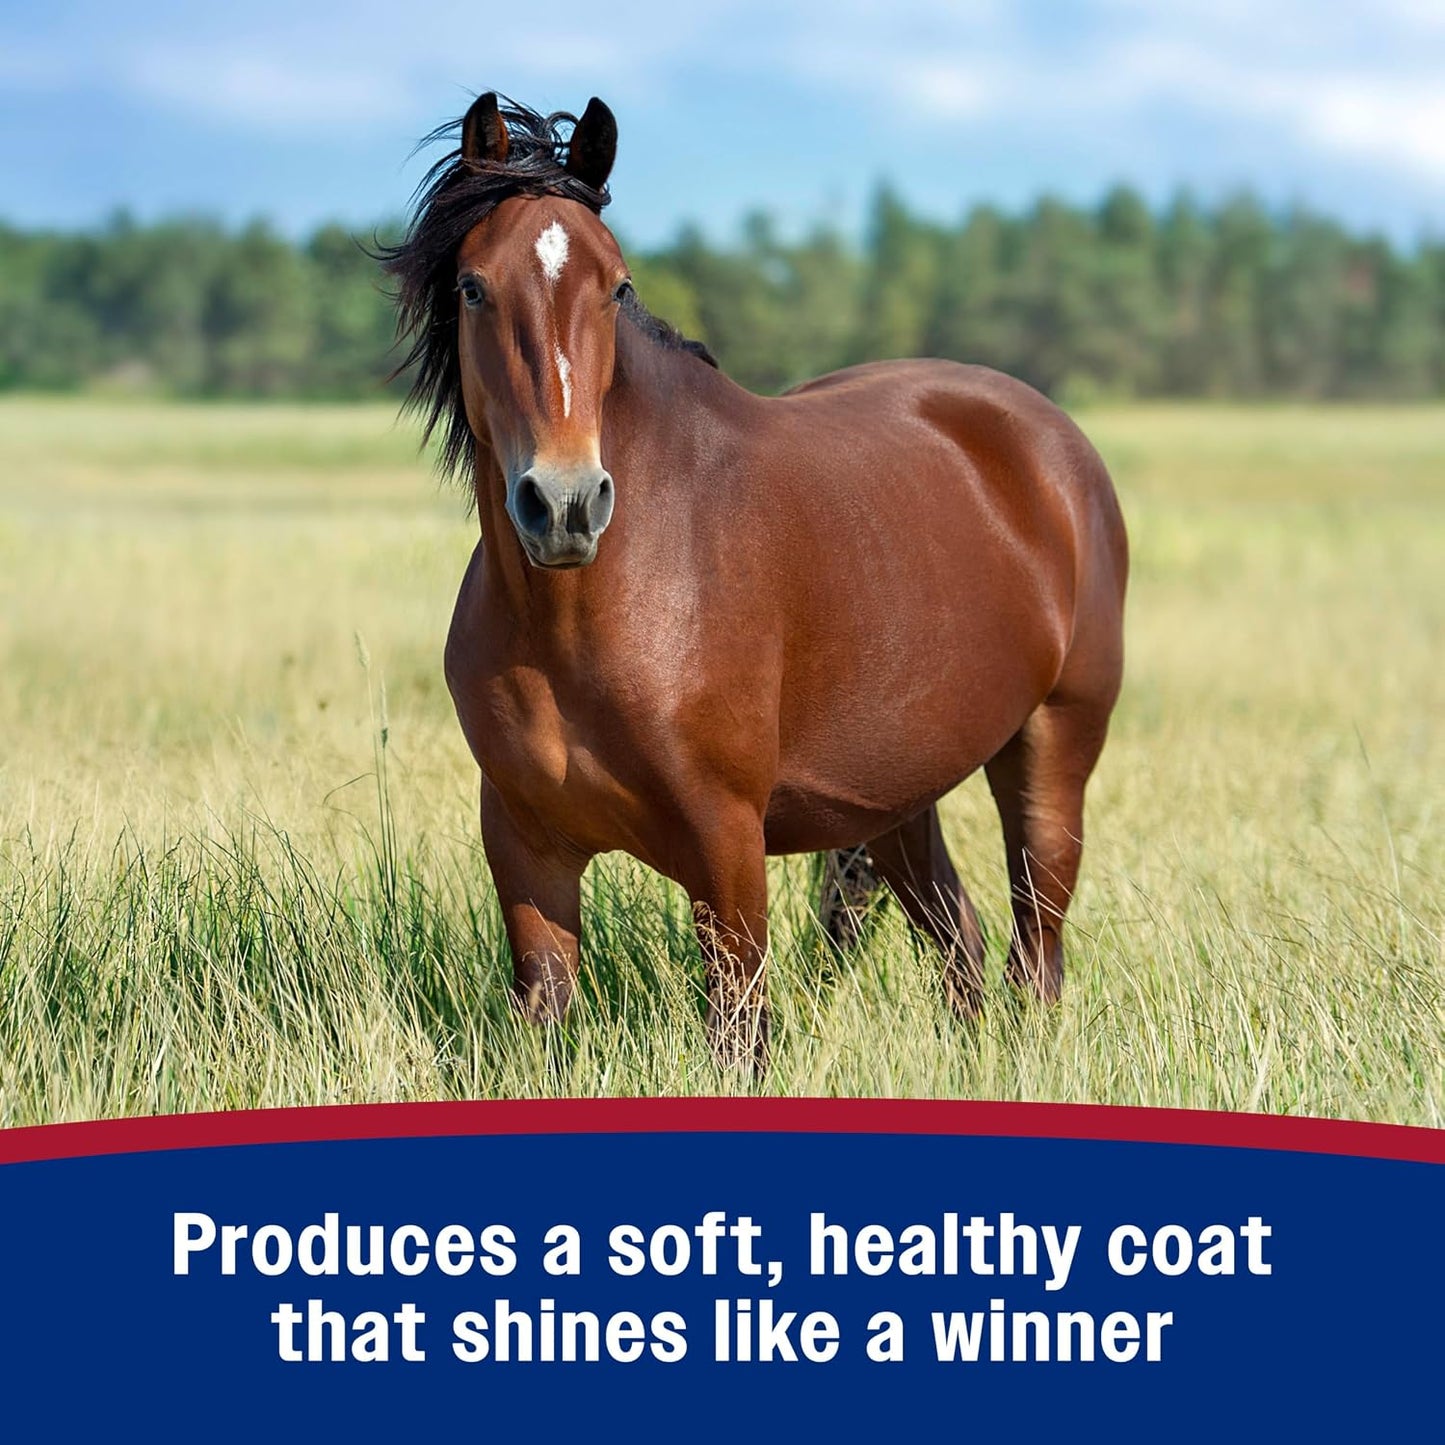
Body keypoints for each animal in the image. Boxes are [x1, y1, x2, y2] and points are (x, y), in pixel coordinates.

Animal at [383, 93, 1128, 1070]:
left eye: (615, 287)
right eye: (473, 287)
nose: (566, 503)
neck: (587, 612)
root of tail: (1053, 444)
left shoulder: (726, 845)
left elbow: (739, 1037)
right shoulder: (525, 847)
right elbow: (544, 1021)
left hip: (1052, 750)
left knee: (1033, 948)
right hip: (897, 801)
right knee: (960, 947)